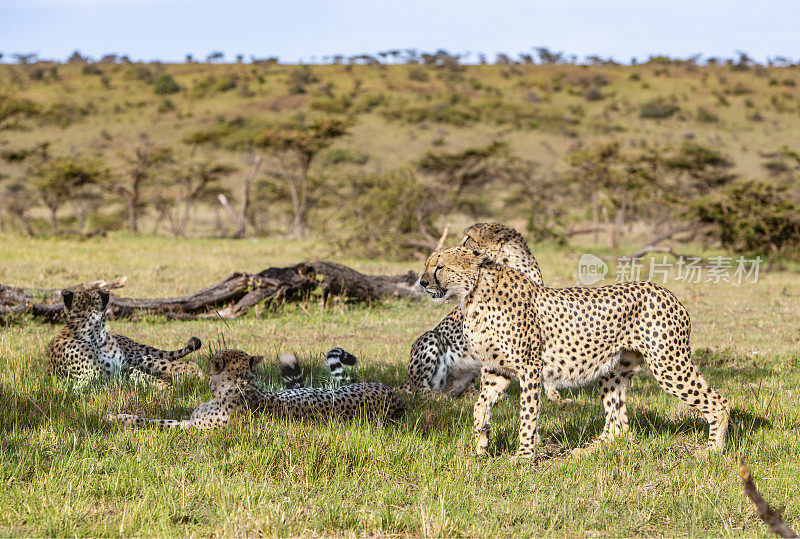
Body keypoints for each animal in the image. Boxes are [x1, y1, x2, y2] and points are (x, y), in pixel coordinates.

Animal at [106, 350, 406, 430]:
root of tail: (396, 398)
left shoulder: (193, 428)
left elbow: (154, 422)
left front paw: (114, 418)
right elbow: (157, 417)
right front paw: (118, 416)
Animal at [422, 247, 736, 458]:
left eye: (440, 266)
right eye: (427, 265)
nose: (423, 282)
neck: (473, 295)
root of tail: (665, 290)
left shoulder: (530, 368)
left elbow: (527, 415)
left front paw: (523, 457)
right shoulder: (497, 370)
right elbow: (480, 406)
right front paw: (481, 445)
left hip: (669, 363)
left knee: (718, 402)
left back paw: (712, 451)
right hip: (614, 370)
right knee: (618, 423)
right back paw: (587, 452)